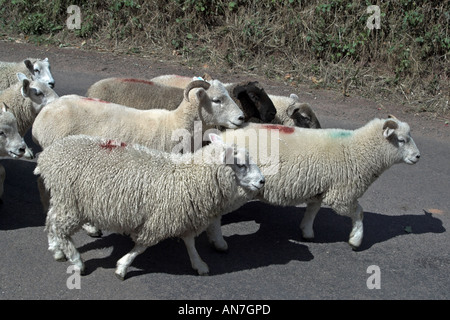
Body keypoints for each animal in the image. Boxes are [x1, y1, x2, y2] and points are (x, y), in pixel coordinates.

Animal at [37, 132, 266, 278]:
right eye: (241, 165)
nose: (263, 181)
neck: (189, 176)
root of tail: (47, 156)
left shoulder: (182, 214)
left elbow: (189, 242)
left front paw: (199, 264)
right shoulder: (159, 219)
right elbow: (142, 246)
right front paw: (122, 267)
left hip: (63, 200)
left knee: (51, 221)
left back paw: (56, 249)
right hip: (71, 203)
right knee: (60, 228)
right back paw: (76, 261)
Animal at [206, 115, 420, 250]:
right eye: (401, 140)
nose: (418, 156)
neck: (357, 151)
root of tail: (222, 136)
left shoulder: (319, 188)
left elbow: (313, 210)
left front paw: (307, 231)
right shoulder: (342, 195)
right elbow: (359, 213)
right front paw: (355, 240)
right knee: (216, 214)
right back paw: (219, 243)